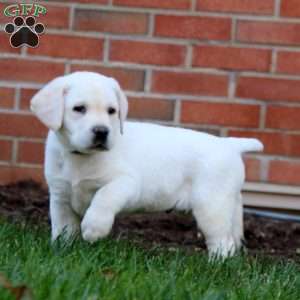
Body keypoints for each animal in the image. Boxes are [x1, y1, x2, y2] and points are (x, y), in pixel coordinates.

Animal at [29, 72, 262, 258]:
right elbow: (64, 228)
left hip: (211, 206)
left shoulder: (125, 183)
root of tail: (229, 144)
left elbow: (104, 197)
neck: (80, 157)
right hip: (228, 203)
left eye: (111, 111)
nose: (102, 131)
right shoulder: (61, 196)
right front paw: (62, 251)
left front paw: (94, 228)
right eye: (79, 109)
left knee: (222, 242)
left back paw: (216, 266)